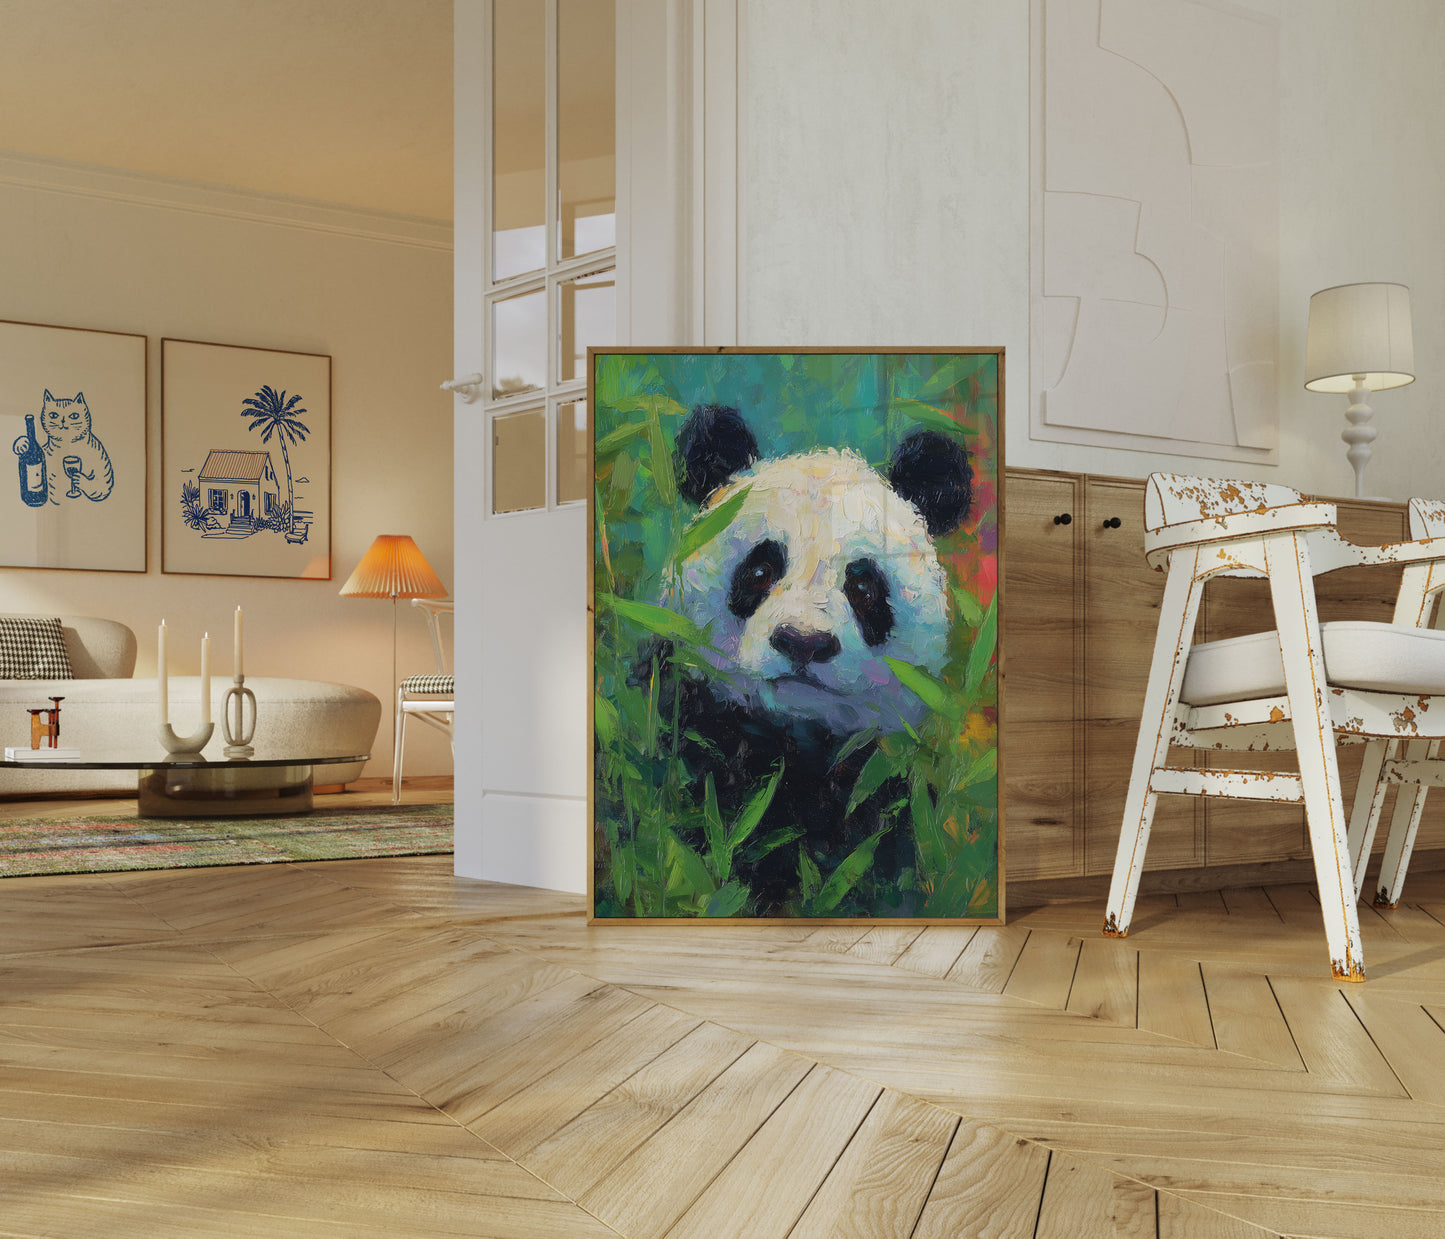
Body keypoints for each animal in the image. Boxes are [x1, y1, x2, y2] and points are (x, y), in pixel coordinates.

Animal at [645, 402, 973, 915]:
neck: (795, 740)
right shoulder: (682, 728)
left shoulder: (885, 788)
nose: (803, 642)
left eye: (863, 587)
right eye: (761, 570)